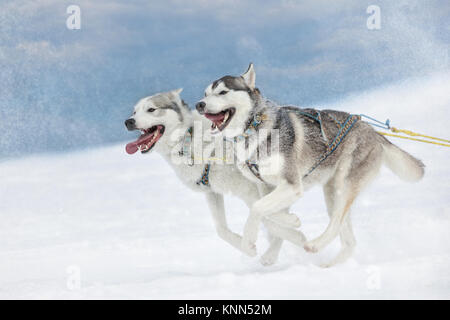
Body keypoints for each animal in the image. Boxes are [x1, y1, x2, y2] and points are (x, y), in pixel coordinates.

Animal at [124, 90, 306, 264]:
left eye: (151, 109)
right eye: (134, 111)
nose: (128, 121)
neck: (189, 143)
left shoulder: (252, 191)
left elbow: (269, 219)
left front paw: (295, 233)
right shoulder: (212, 193)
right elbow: (222, 230)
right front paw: (246, 247)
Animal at [197, 63, 426, 266]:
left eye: (223, 92)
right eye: (206, 93)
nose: (200, 104)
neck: (255, 130)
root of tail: (371, 130)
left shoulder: (291, 185)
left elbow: (256, 208)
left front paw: (249, 240)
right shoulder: (266, 186)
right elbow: (268, 213)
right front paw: (291, 222)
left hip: (344, 185)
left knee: (336, 223)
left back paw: (315, 245)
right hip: (331, 193)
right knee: (349, 241)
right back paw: (328, 266)